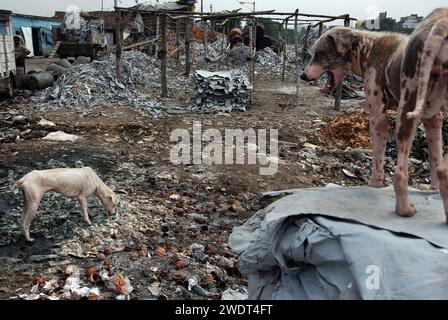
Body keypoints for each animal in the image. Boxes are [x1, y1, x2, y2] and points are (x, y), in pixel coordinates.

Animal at [300, 8, 448, 221]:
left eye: (319, 53)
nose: (302, 76)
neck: (366, 48)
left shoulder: (378, 116)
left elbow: (378, 154)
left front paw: (375, 183)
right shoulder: (433, 119)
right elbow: (435, 157)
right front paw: (433, 189)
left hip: (406, 112)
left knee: (401, 172)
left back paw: (404, 209)